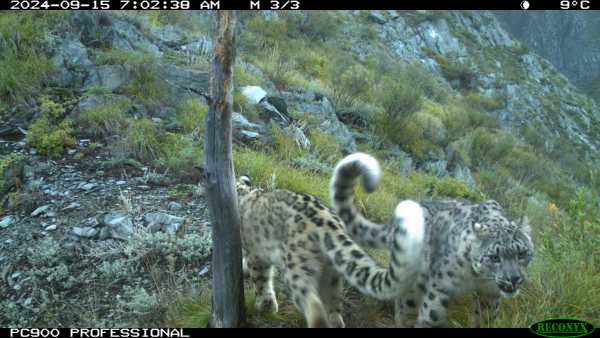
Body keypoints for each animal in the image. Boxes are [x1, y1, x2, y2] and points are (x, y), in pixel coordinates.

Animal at [236, 173, 426, 326]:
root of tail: (331, 223)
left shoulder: (255, 255)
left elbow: (261, 282)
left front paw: (264, 307)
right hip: (332, 274)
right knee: (334, 311)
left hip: (297, 268)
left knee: (313, 305)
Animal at [332, 153, 536, 328]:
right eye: (494, 257)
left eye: (522, 253)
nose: (514, 279)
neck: (477, 279)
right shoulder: (441, 287)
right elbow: (432, 314)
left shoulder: (490, 293)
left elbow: (486, 317)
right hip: (414, 278)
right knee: (404, 304)